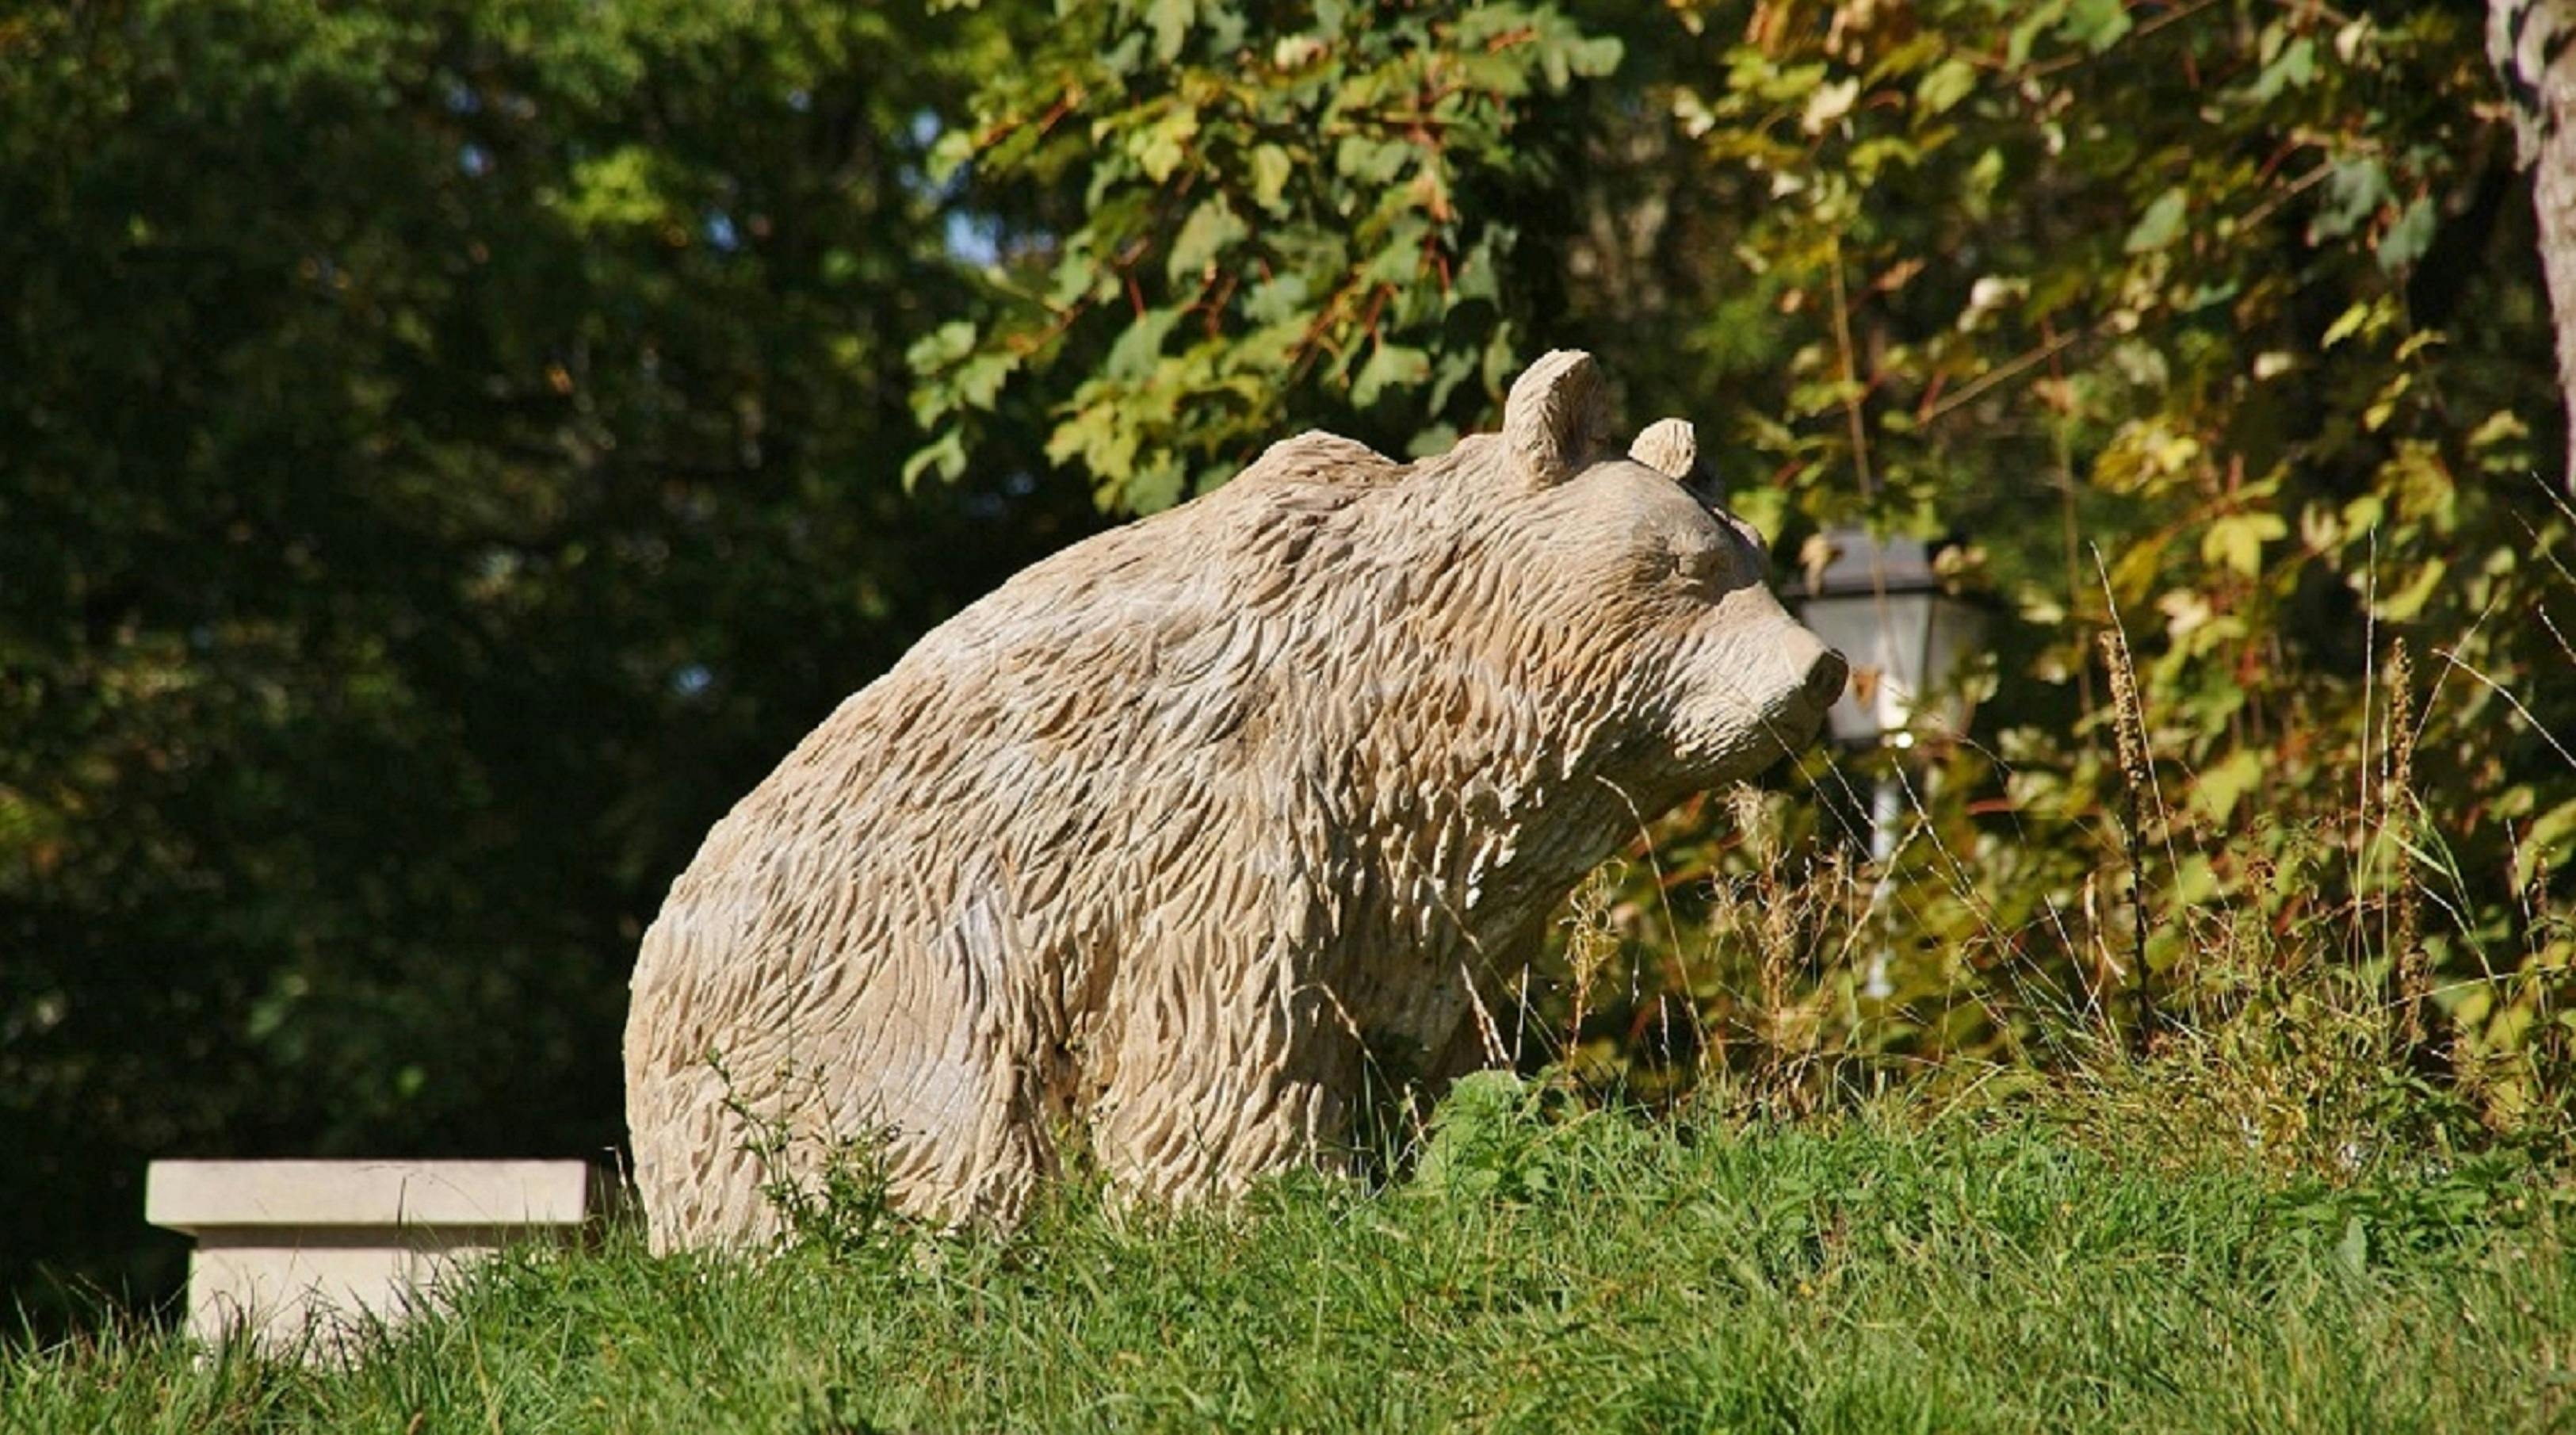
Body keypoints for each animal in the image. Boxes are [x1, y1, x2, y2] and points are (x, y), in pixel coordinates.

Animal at [623, 350, 1848, 1250]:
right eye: (1684, 566)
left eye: (1753, 553)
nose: (1819, 669)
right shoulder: (1227, 822)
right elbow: (1227, 1041)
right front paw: (1252, 1203)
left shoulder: (1422, 885)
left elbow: (1441, 1050)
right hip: (856, 985)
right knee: (927, 1130)